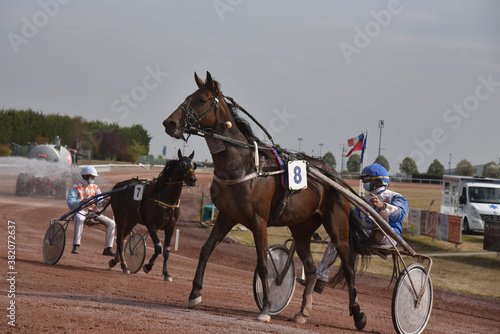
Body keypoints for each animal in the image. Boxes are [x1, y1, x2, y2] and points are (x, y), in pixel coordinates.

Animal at [109, 149, 197, 280]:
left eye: (193, 165)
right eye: (182, 164)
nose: (192, 179)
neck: (167, 201)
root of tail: (119, 185)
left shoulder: (171, 228)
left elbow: (166, 251)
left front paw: (166, 273)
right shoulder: (151, 225)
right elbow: (158, 247)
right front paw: (147, 266)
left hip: (132, 219)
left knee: (123, 237)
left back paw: (115, 261)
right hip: (120, 216)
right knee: (119, 239)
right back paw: (124, 266)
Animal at [162, 72, 370, 330]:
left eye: (201, 99)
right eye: (187, 96)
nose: (169, 123)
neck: (242, 165)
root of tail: (335, 176)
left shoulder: (258, 221)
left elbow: (262, 264)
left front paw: (266, 308)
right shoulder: (226, 216)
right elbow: (205, 249)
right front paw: (195, 294)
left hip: (338, 226)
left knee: (349, 267)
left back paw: (358, 314)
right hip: (301, 229)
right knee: (311, 269)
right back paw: (303, 312)